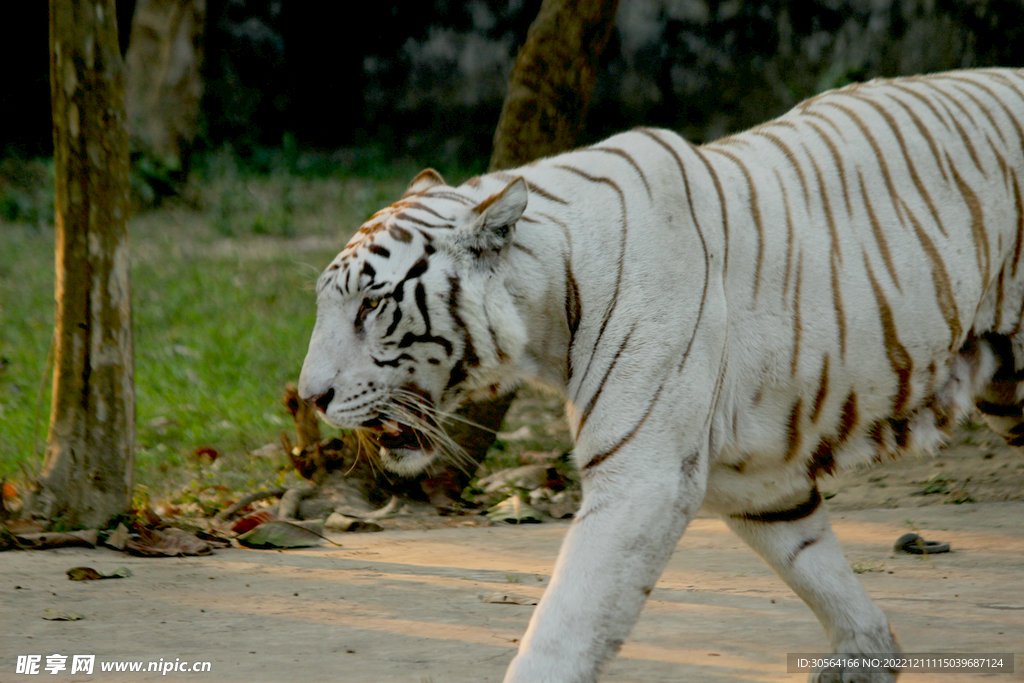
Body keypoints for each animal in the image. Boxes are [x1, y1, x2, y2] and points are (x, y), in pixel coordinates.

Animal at [298, 68, 1024, 682]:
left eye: (371, 305)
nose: (310, 397)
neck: (547, 303)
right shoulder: (753, 471)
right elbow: (813, 558)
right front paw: (865, 654)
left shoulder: (642, 473)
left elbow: (567, 623)